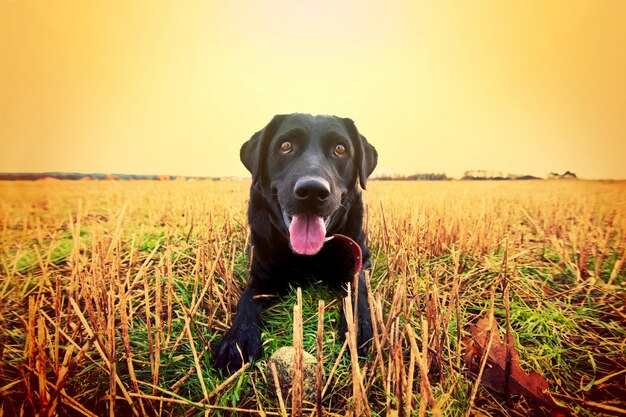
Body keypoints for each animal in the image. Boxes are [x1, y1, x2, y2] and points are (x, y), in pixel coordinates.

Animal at [214, 112, 376, 372]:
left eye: (340, 149)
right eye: (285, 146)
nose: (312, 190)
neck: (308, 258)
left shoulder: (361, 259)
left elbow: (358, 288)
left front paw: (358, 326)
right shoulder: (259, 272)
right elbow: (247, 298)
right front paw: (237, 339)